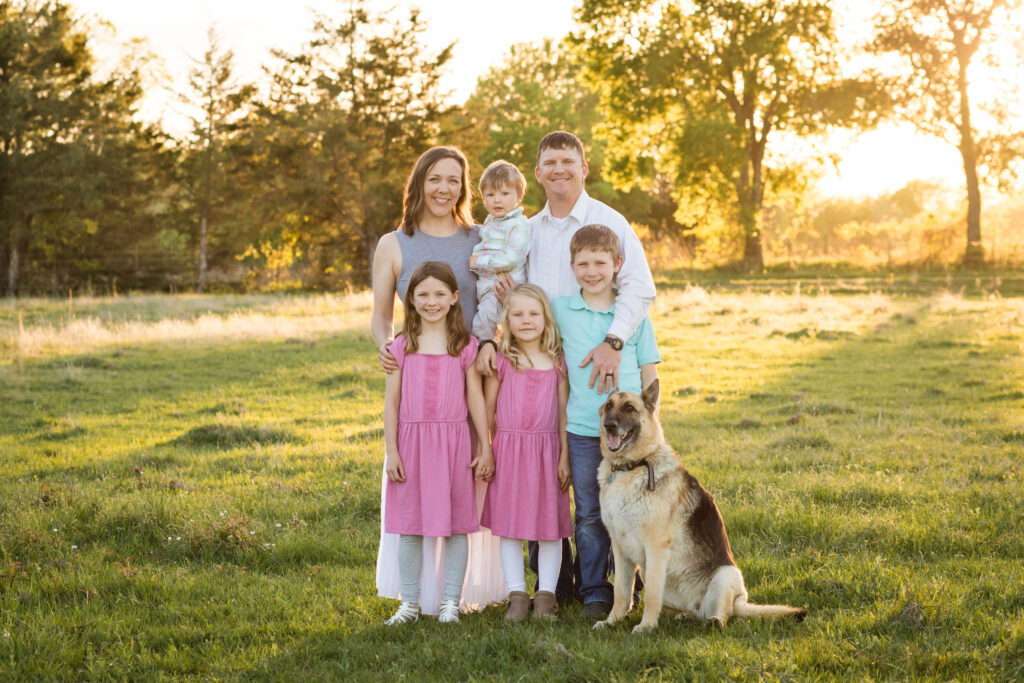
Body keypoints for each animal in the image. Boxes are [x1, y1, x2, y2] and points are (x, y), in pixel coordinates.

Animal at [598, 378, 802, 634]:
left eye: (629, 408)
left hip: (725, 574)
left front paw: (646, 627)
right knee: (690, 612)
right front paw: (611, 622)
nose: (609, 426)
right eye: (608, 407)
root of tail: (739, 602)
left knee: (722, 614)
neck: (630, 468)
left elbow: (651, 595)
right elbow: (621, 592)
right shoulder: (620, 549)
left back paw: (714, 621)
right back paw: (684, 616)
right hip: (647, 572)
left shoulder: (655, 548)